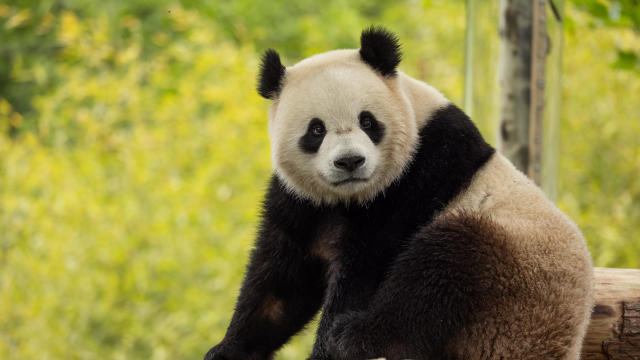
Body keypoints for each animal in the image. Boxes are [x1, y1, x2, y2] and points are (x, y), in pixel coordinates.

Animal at [204, 26, 592, 358]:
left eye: (367, 121)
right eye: (316, 130)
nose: (349, 162)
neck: (349, 198)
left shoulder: (415, 178)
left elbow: (366, 269)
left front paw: (328, 347)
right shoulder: (302, 200)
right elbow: (281, 281)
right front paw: (228, 348)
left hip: (514, 277)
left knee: (440, 269)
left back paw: (356, 335)